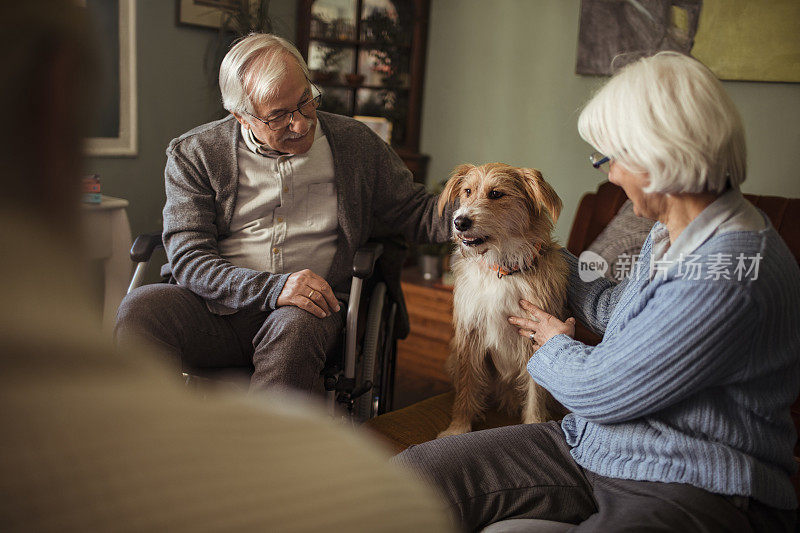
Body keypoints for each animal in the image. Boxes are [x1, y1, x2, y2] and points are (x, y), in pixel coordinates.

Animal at [438, 162, 568, 436]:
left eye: (496, 194)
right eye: (467, 191)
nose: (459, 221)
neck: (502, 270)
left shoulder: (537, 335)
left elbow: (536, 392)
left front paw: (534, 423)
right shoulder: (469, 333)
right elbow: (467, 385)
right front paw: (459, 427)